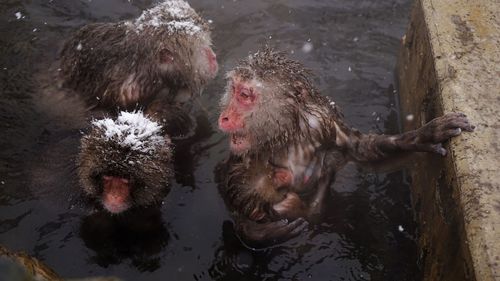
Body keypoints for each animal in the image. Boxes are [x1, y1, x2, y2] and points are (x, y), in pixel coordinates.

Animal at [217, 48, 474, 245]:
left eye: (245, 95)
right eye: (234, 90)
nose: (224, 117)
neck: (287, 133)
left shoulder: (323, 126)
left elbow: (362, 149)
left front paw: (423, 135)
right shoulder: (243, 156)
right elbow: (227, 180)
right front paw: (256, 231)